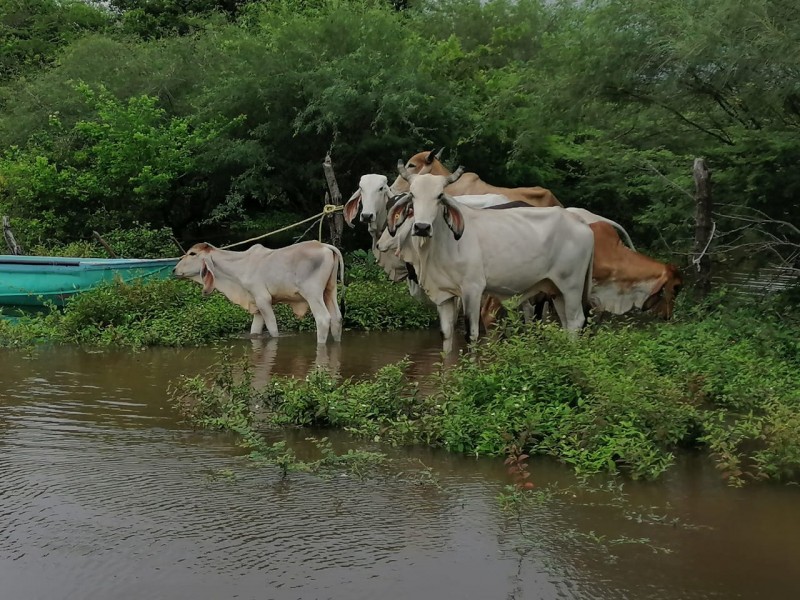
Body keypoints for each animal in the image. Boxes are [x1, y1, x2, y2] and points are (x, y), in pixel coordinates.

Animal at [175, 238, 344, 342]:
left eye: (192, 253)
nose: (174, 270)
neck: (240, 266)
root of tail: (324, 246)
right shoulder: (256, 305)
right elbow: (255, 331)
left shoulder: (263, 300)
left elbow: (273, 329)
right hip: (329, 291)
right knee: (337, 318)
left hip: (313, 294)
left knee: (323, 320)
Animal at [380, 164, 592, 352]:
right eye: (412, 195)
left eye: (439, 196)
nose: (422, 227)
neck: (445, 242)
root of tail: (581, 223)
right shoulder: (445, 295)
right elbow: (446, 335)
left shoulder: (472, 290)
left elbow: (471, 335)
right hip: (556, 290)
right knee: (566, 322)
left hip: (571, 287)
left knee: (575, 321)